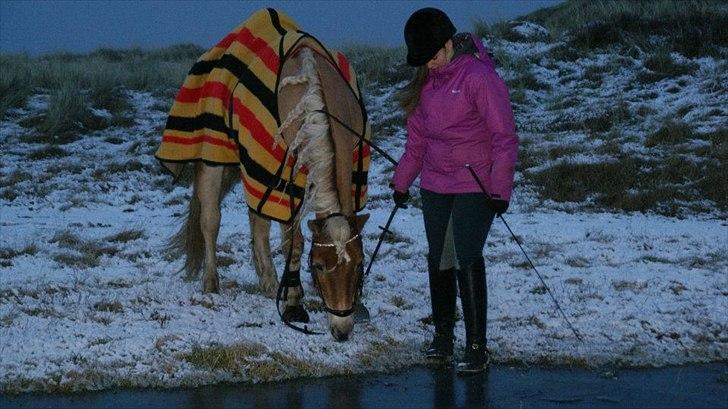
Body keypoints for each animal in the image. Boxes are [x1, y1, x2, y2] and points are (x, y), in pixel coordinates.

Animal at [154, 10, 370, 342]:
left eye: (359, 264)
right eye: (319, 266)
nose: (342, 330)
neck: (312, 93)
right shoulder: (283, 178)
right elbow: (294, 242)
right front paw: (293, 304)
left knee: (258, 223)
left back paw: (268, 283)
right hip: (214, 158)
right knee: (211, 220)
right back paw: (211, 283)